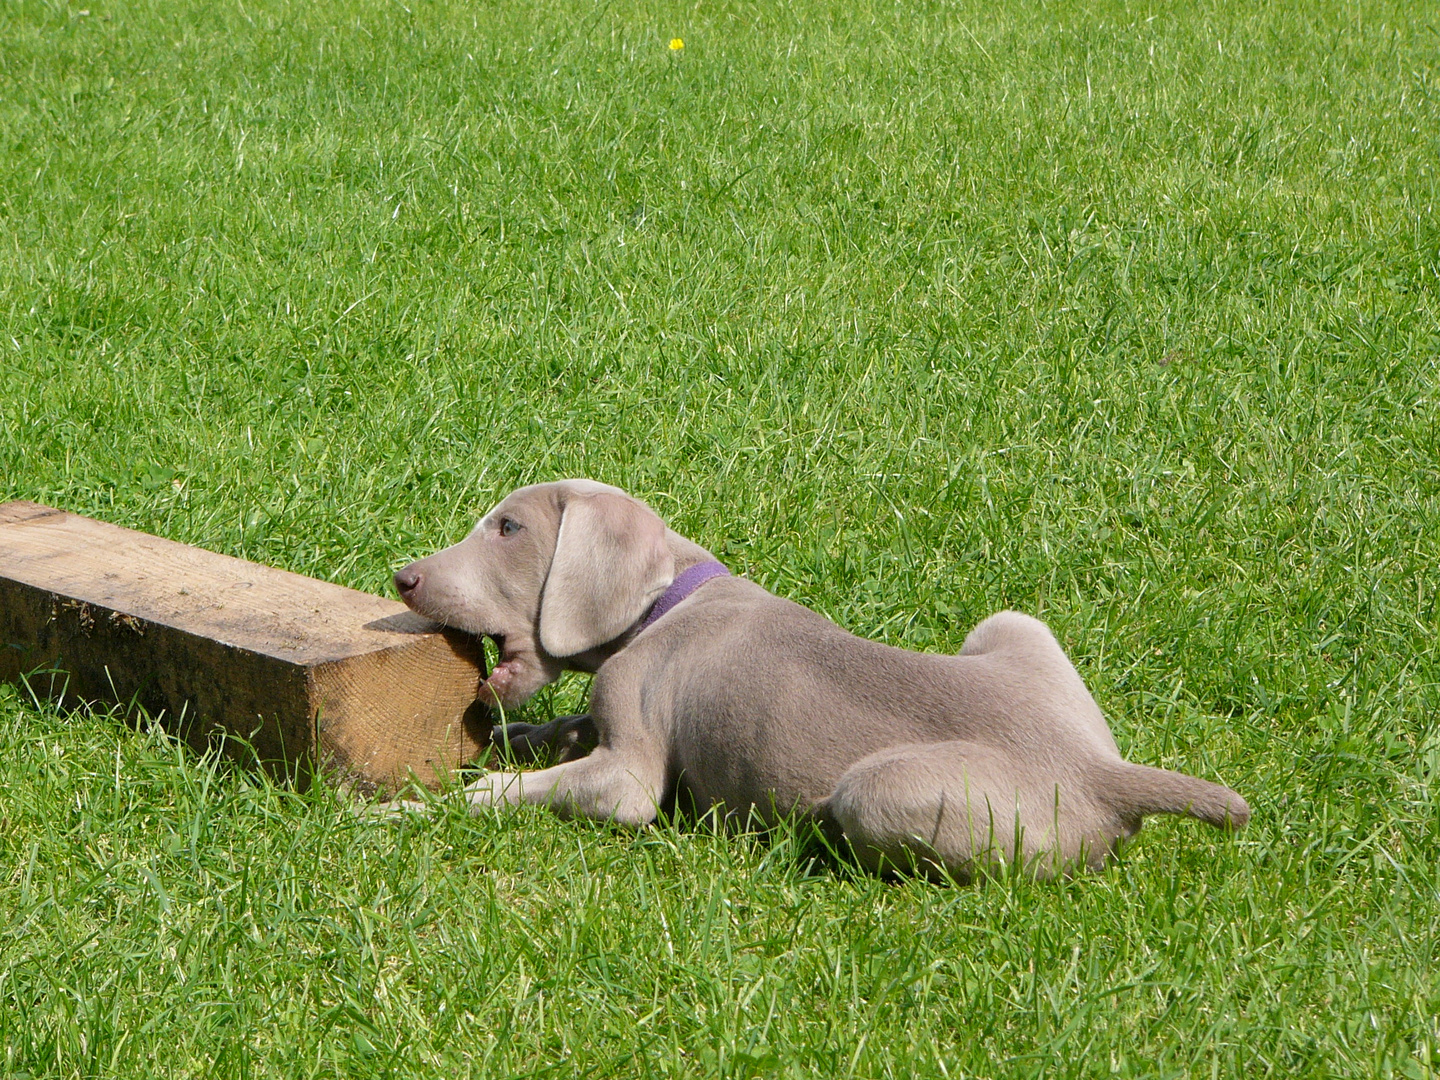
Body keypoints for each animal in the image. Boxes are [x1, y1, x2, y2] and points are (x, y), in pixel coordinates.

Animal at [391, 480, 1249, 881]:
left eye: (508, 527)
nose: (403, 576)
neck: (669, 603)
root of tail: (1106, 774)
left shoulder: (627, 774)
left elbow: (527, 789)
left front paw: (415, 806)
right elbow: (552, 731)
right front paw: (509, 739)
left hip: (880, 791)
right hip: (1015, 626)